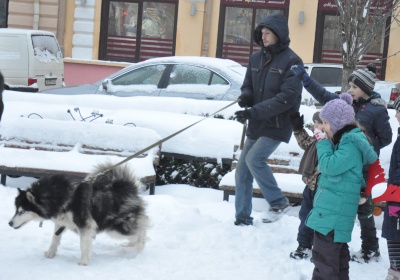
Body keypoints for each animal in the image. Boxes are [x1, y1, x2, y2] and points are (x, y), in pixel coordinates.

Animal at [8, 162, 148, 264]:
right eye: (16, 210)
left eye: (22, 211)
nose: (9, 223)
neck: (60, 197)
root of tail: (128, 187)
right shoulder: (60, 222)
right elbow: (55, 239)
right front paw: (50, 253)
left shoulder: (85, 224)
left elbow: (83, 244)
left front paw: (83, 261)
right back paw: (130, 244)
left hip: (116, 228)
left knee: (141, 230)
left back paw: (139, 247)